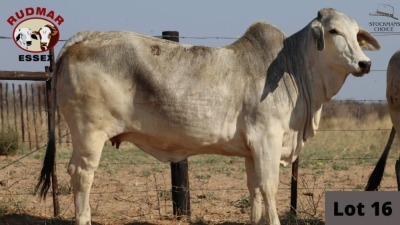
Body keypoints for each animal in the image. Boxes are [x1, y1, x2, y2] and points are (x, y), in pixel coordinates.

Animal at [36, 7, 378, 224]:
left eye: (356, 33)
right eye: (333, 31)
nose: (365, 63)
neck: (293, 69)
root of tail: (87, 36)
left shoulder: (252, 150)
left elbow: (254, 192)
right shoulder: (267, 140)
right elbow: (269, 189)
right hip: (89, 135)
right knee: (82, 175)